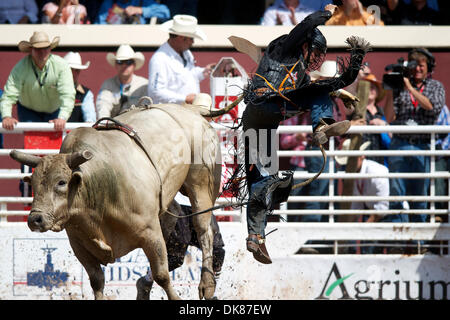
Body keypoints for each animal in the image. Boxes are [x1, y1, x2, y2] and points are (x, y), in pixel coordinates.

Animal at [11, 105, 225, 300]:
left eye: (61, 182)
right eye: (33, 183)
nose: (35, 219)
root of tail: (191, 109)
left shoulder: (151, 233)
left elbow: (162, 275)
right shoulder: (79, 244)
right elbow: (97, 281)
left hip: (202, 184)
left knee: (204, 230)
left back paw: (207, 284)